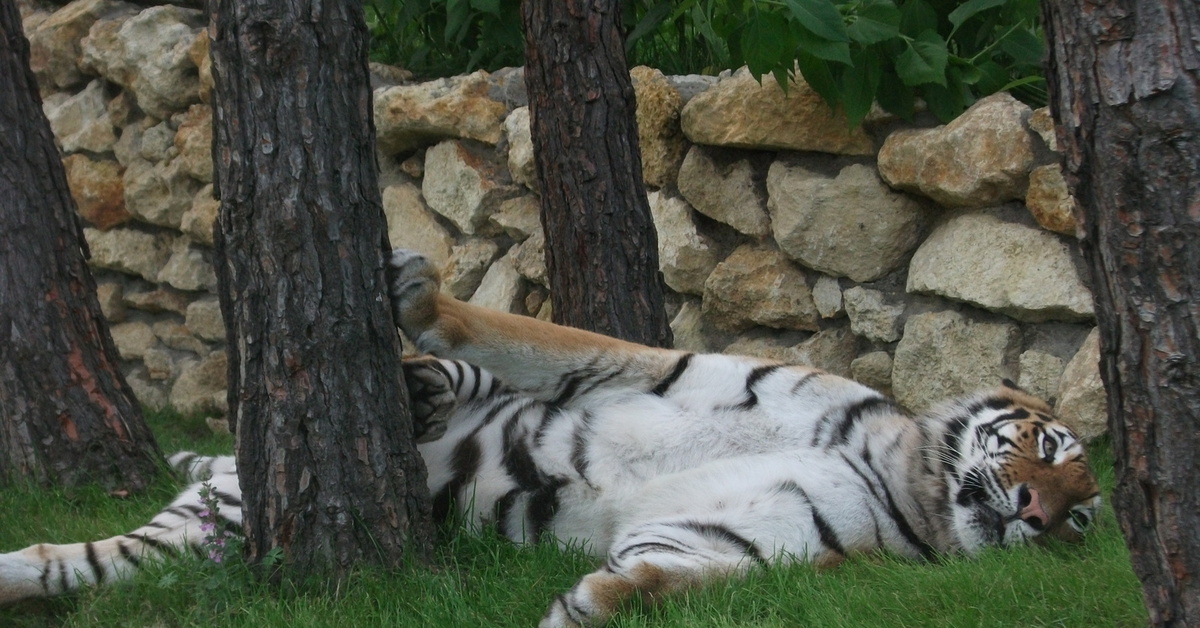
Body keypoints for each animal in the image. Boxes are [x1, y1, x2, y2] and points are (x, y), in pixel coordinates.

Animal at [0, 250, 1099, 628]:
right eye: (1048, 451)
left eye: (1086, 519)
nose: (1042, 514)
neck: (904, 474)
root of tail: (229, 472)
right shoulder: (661, 369)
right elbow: (543, 336)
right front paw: (422, 297)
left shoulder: (754, 535)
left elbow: (666, 573)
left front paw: (587, 604)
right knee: (457, 375)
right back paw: (414, 380)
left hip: (201, 537)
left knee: (69, 561)